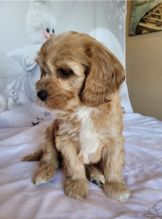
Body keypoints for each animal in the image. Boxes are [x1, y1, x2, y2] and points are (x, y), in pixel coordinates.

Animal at [23, 31, 131, 201]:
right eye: (43, 71)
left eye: (65, 72)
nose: (40, 94)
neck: (83, 108)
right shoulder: (65, 140)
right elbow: (74, 166)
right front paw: (77, 186)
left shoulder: (114, 140)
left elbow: (112, 165)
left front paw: (116, 186)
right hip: (49, 133)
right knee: (50, 159)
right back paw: (44, 173)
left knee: (91, 165)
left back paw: (97, 175)